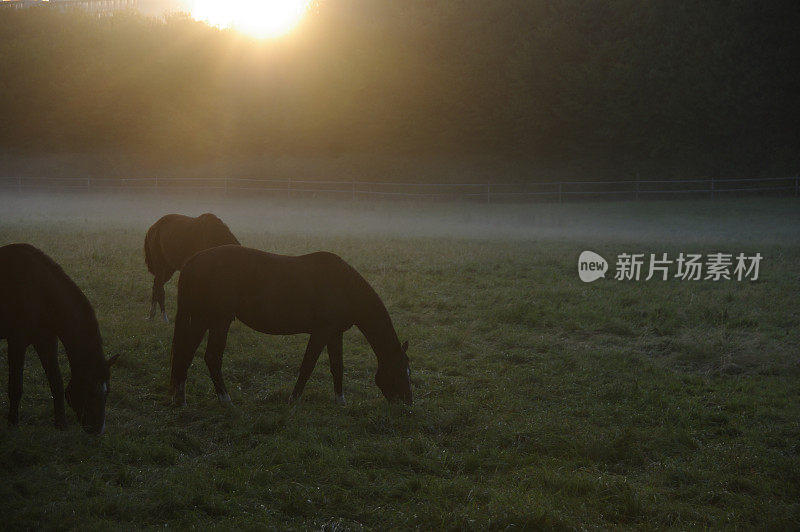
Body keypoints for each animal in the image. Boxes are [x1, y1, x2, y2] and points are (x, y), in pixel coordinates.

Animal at [0, 243, 119, 434]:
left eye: (108, 391)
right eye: (92, 391)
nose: (98, 429)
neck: (39, 291)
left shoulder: (46, 340)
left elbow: (56, 381)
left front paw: (61, 424)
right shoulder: (17, 342)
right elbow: (15, 386)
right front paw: (12, 422)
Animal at [165, 245, 410, 408]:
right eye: (401, 371)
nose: (407, 403)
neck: (344, 285)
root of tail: (194, 260)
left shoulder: (334, 333)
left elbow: (337, 366)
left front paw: (340, 401)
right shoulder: (321, 332)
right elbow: (308, 365)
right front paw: (293, 400)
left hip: (202, 319)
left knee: (186, 354)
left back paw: (181, 398)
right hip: (218, 320)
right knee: (211, 358)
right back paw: (226, 400)